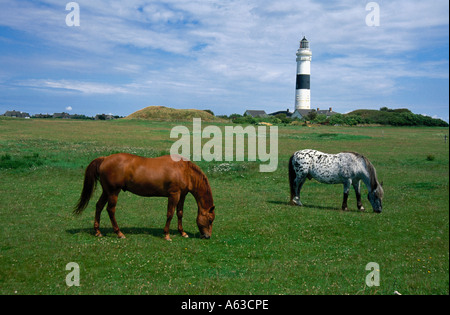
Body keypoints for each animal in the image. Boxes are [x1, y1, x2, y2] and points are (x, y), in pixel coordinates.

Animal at [73, 154, 214, 241]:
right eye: (210, 220)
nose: (207, 236)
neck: (184, 170)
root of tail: (105, 158)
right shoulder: (174, 194)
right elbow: (170, 213)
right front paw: (167, 235)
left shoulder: (182, 195)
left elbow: (179, 213)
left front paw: (182, 233)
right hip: (113, 192)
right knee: (110, 210)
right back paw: (119, 233)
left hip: (106, 192)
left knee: (99, 206)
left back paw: (97, 231)